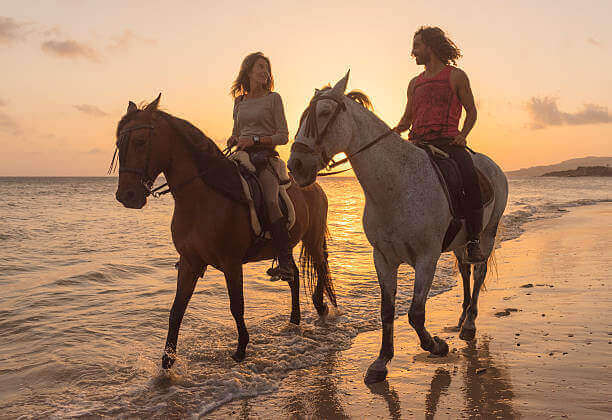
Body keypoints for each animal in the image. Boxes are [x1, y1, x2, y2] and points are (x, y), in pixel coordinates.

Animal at [112, 95, 338, 368]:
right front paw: (167, 361)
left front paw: (241, 349)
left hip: (312, 238)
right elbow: (176, 310)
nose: (127, 195)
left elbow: (236, 305)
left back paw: (321, 306)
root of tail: (314, 186)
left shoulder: (231, 263)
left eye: (140, 142)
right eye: (119, 144)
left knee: (321, 264)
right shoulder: (189, 262)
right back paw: (294, 320)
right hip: (288, 245)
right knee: (293, 274)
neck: (202, 198)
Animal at [290, 71, 510, 384]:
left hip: (487, 234)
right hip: (460, 244)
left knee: (478, 272)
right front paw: (381, 362)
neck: (397, 186)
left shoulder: (427, 259)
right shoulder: (383, 258)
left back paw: (469, 323)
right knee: (465, 271)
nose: (295, 164)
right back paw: (462, 316)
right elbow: (387, 310)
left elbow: (415, 314)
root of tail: (492, 167)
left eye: (323, 113)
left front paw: (437, 346)